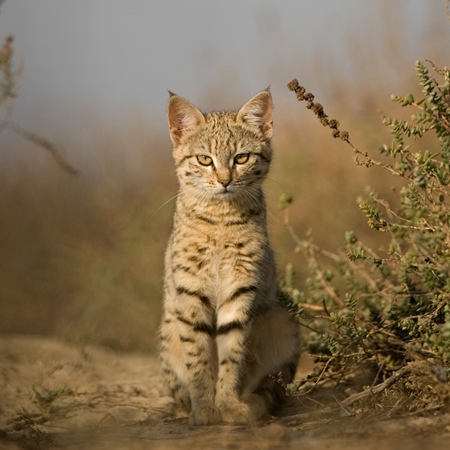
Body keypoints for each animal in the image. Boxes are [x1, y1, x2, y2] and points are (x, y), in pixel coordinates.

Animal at [160, 89, 300, 426]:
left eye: (241, 158)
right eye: (204, 159)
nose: (224, 180)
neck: (220, 217)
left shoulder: (240, 289)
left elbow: (232, 354)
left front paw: (227, 404)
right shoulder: (190, 292)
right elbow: (198, 358)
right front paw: (203, 409)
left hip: (284, 316)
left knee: (273, 384)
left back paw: (254, 402)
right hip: (168, 329)